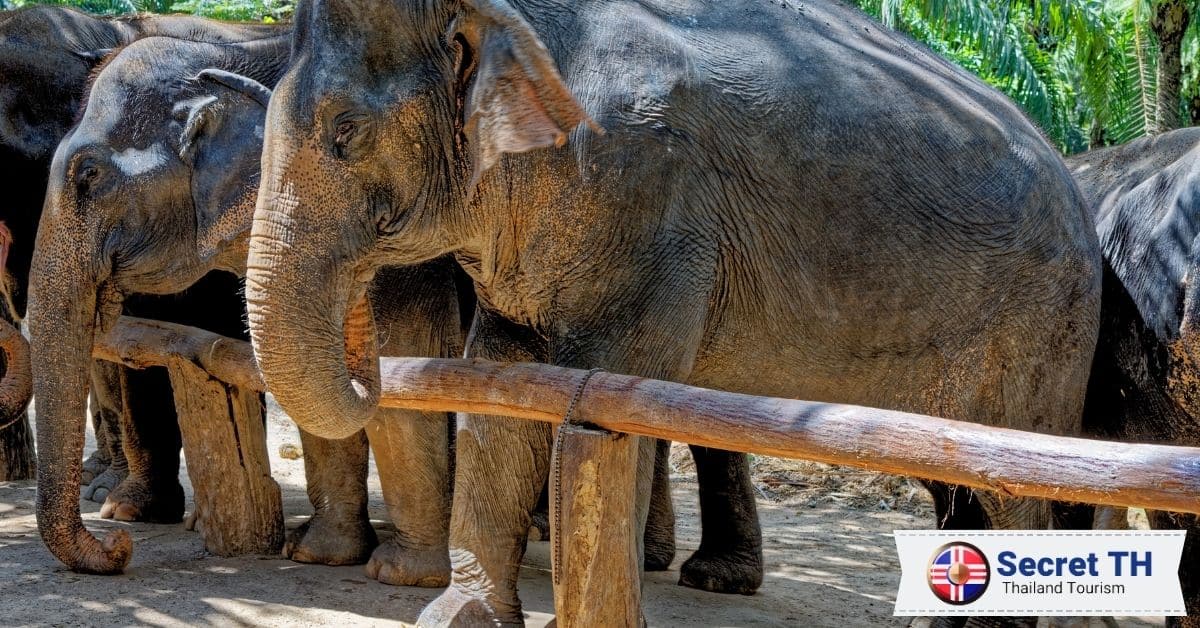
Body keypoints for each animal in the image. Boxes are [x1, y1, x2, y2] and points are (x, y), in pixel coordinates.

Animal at [26, 33, 473, 585]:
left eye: (89, 175)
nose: (118, 546)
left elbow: (405, 350)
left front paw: (402, 573)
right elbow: (307, 367)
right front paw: (319, 555)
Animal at [245, 0, 1101, 624]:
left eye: (346, 133)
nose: (366, 357)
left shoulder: (647, 203)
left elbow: (609, 396)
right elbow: (500, 387)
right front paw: (461, 617)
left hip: (1041, 333)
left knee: (1014, 492)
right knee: (959, 485)